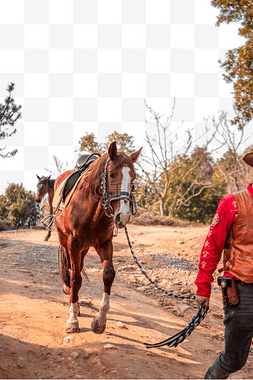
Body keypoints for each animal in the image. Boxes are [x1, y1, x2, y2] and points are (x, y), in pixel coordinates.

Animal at [54, 142, 142, 332]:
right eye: (112, 174)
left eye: (133, 177)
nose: (123, 216)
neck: (91, 207)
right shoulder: (73, 243)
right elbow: (75, 278)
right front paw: (72, 320)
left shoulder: (104, 243)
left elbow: (108, 274)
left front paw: (100, 320)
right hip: (65, 240)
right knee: (70, 269)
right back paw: (71, 298)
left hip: (85, 248)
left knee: (79, 267)